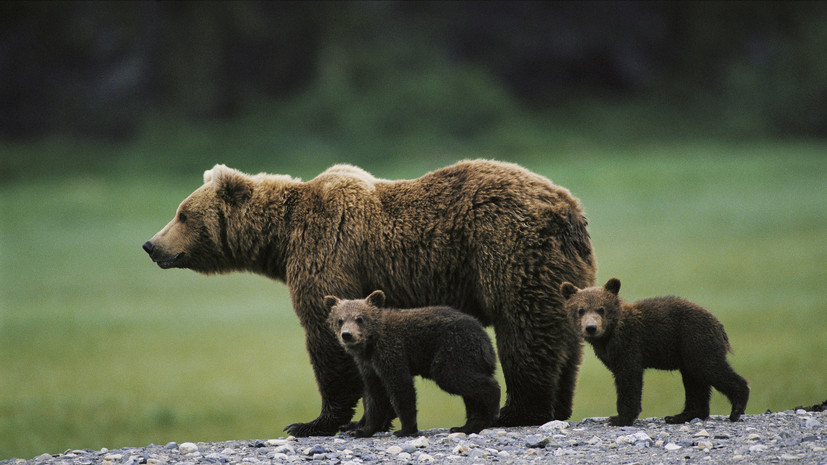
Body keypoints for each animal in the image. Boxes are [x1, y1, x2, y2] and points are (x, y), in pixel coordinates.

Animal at [326, 290, 502, 436]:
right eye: (340, 320)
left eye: (360, 318)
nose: (347, 335)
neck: (370, 345)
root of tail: (486, 339)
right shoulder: (369, 367)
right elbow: (374, 397)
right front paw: (362, 430)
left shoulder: (392, 352)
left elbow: (401, 388)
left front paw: (406, 429)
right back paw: (465, 426)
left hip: (454, 349)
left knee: (456, 377)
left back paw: (486, 415)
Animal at [564, 278, 752, 426]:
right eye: (580, 310)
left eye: (601, 309)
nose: (591, 327)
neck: (608, 336)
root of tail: (719, 325)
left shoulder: (630, 345)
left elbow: (629, 379)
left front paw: (619, 418)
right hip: (688, 353)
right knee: (695, 381)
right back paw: (680, 416)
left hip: (695, 341)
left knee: (710, 368)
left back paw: (736, 409)